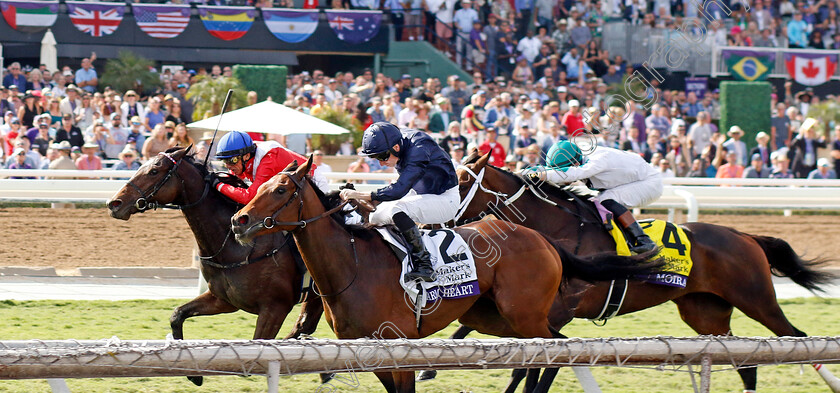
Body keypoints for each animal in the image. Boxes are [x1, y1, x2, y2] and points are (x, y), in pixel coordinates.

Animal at [106, 145, 324, 384]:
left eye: (154, 171)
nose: (114, 203)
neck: (236, 245)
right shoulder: (224, 300)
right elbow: (177, 315)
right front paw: (194, 375)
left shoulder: (275, 308)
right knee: (305, 324)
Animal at [231, 155, 664, 392]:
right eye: (261, 184)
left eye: (281, 190)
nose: (239, 220)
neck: (351, 263)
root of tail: (542, 238)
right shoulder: (369, 354)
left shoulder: (398, 348)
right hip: (496, 317)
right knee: (549, 349)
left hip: (524, 314)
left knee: (555, 351)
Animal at [442, 151, 836, 392]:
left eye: (461, 182)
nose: (439, 218)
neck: (558, 228)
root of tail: (743, 235)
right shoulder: (519, 306)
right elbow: (468, 332)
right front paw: (435, 365)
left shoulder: (553, 312)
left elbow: (526, 363)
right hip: (706, 314)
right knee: (746, 362)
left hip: (757, 300)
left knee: (798, 338)